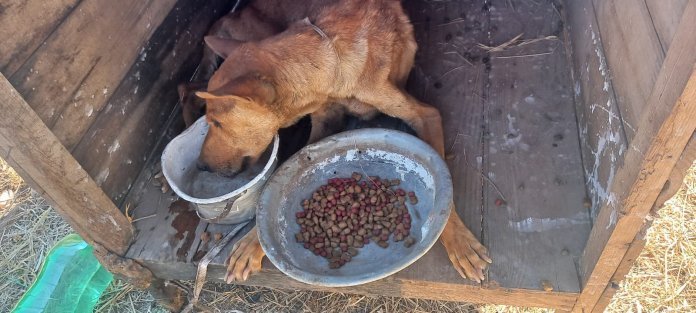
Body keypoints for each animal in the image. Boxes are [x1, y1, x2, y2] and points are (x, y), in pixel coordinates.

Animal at [193, 0, 492, 282]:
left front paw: (460, 241)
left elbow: (445, 195)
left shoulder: (427, 115)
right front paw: (252, 241)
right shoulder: (324, 122)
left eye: (216, 122)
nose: (200, 166)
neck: (332, 60)